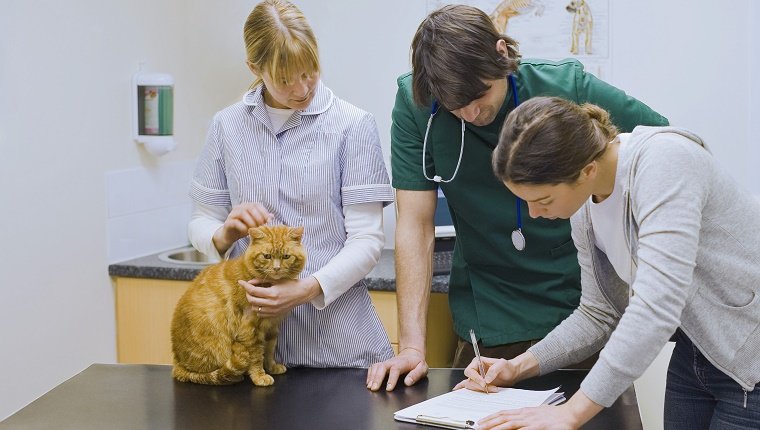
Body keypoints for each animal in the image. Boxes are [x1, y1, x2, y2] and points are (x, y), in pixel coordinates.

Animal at [170, 225, 306, 386]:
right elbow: (256, 356)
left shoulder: (272, 327)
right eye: (267, 256)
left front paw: (272, 367)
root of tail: (178, 362)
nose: (277, 268)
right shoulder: (250, 329)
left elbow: (270, 350)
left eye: (286, 256)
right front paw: (260, 376)